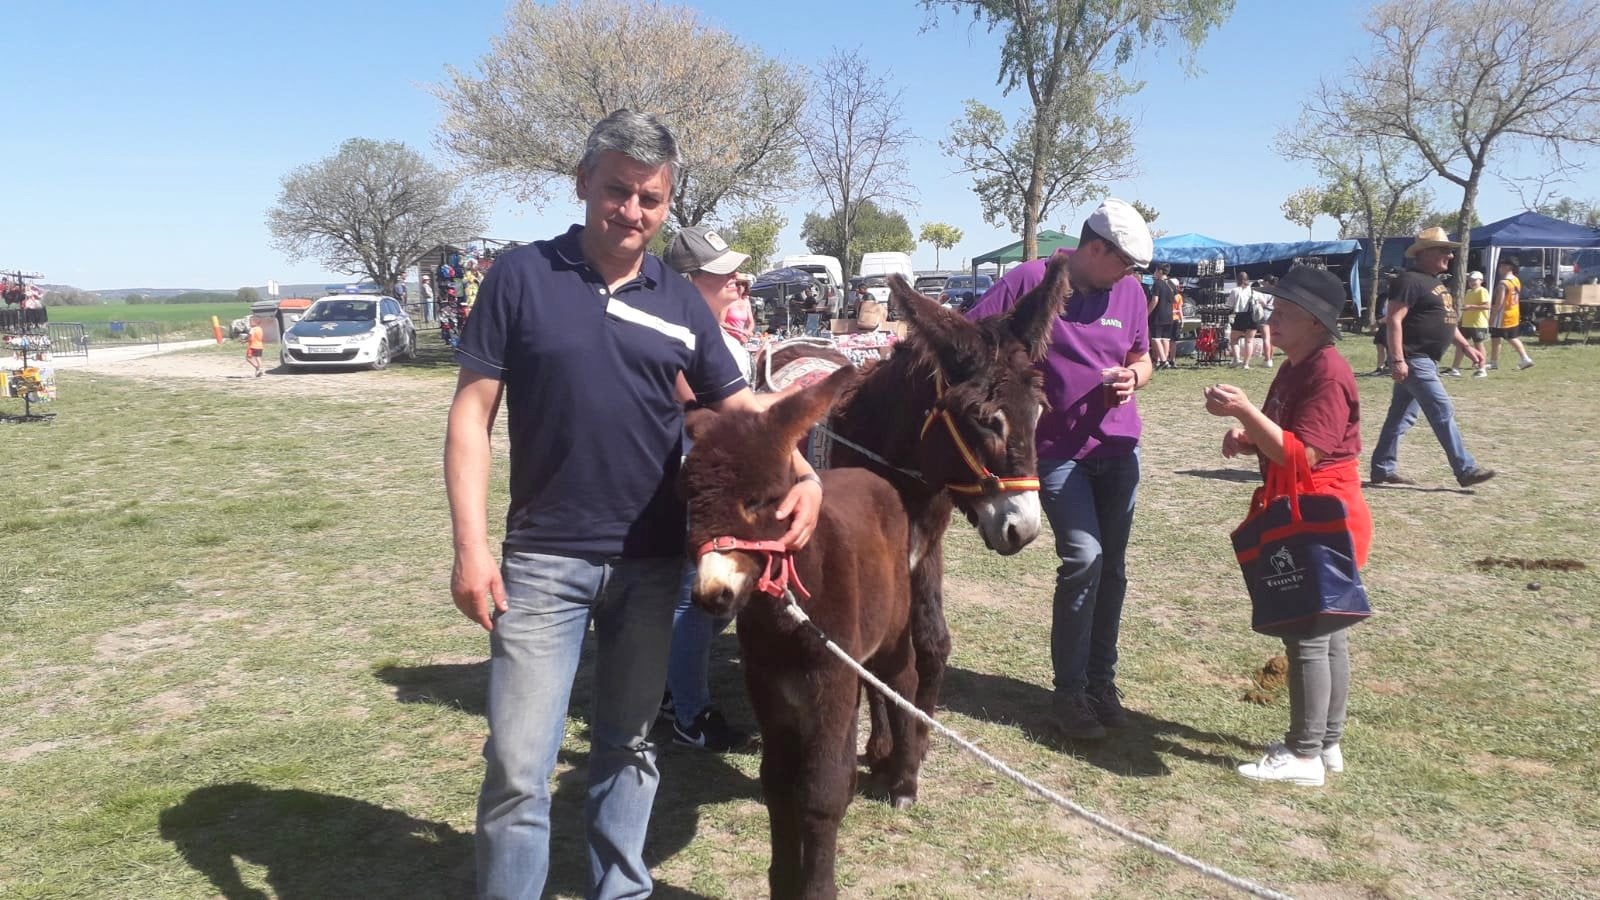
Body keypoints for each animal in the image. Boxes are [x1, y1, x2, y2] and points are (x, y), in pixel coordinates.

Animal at [681, 366, 921, 896]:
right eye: (688, 502)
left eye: (761, 500)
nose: (712, 594)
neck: (787, 619)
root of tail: (869, 475)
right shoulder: (768, 687)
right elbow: (777, 784)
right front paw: (783, 881)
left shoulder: (830, 682)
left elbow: (821, 792)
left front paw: (816, 887)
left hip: (894, 624)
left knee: (901, 681)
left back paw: (905, 781)